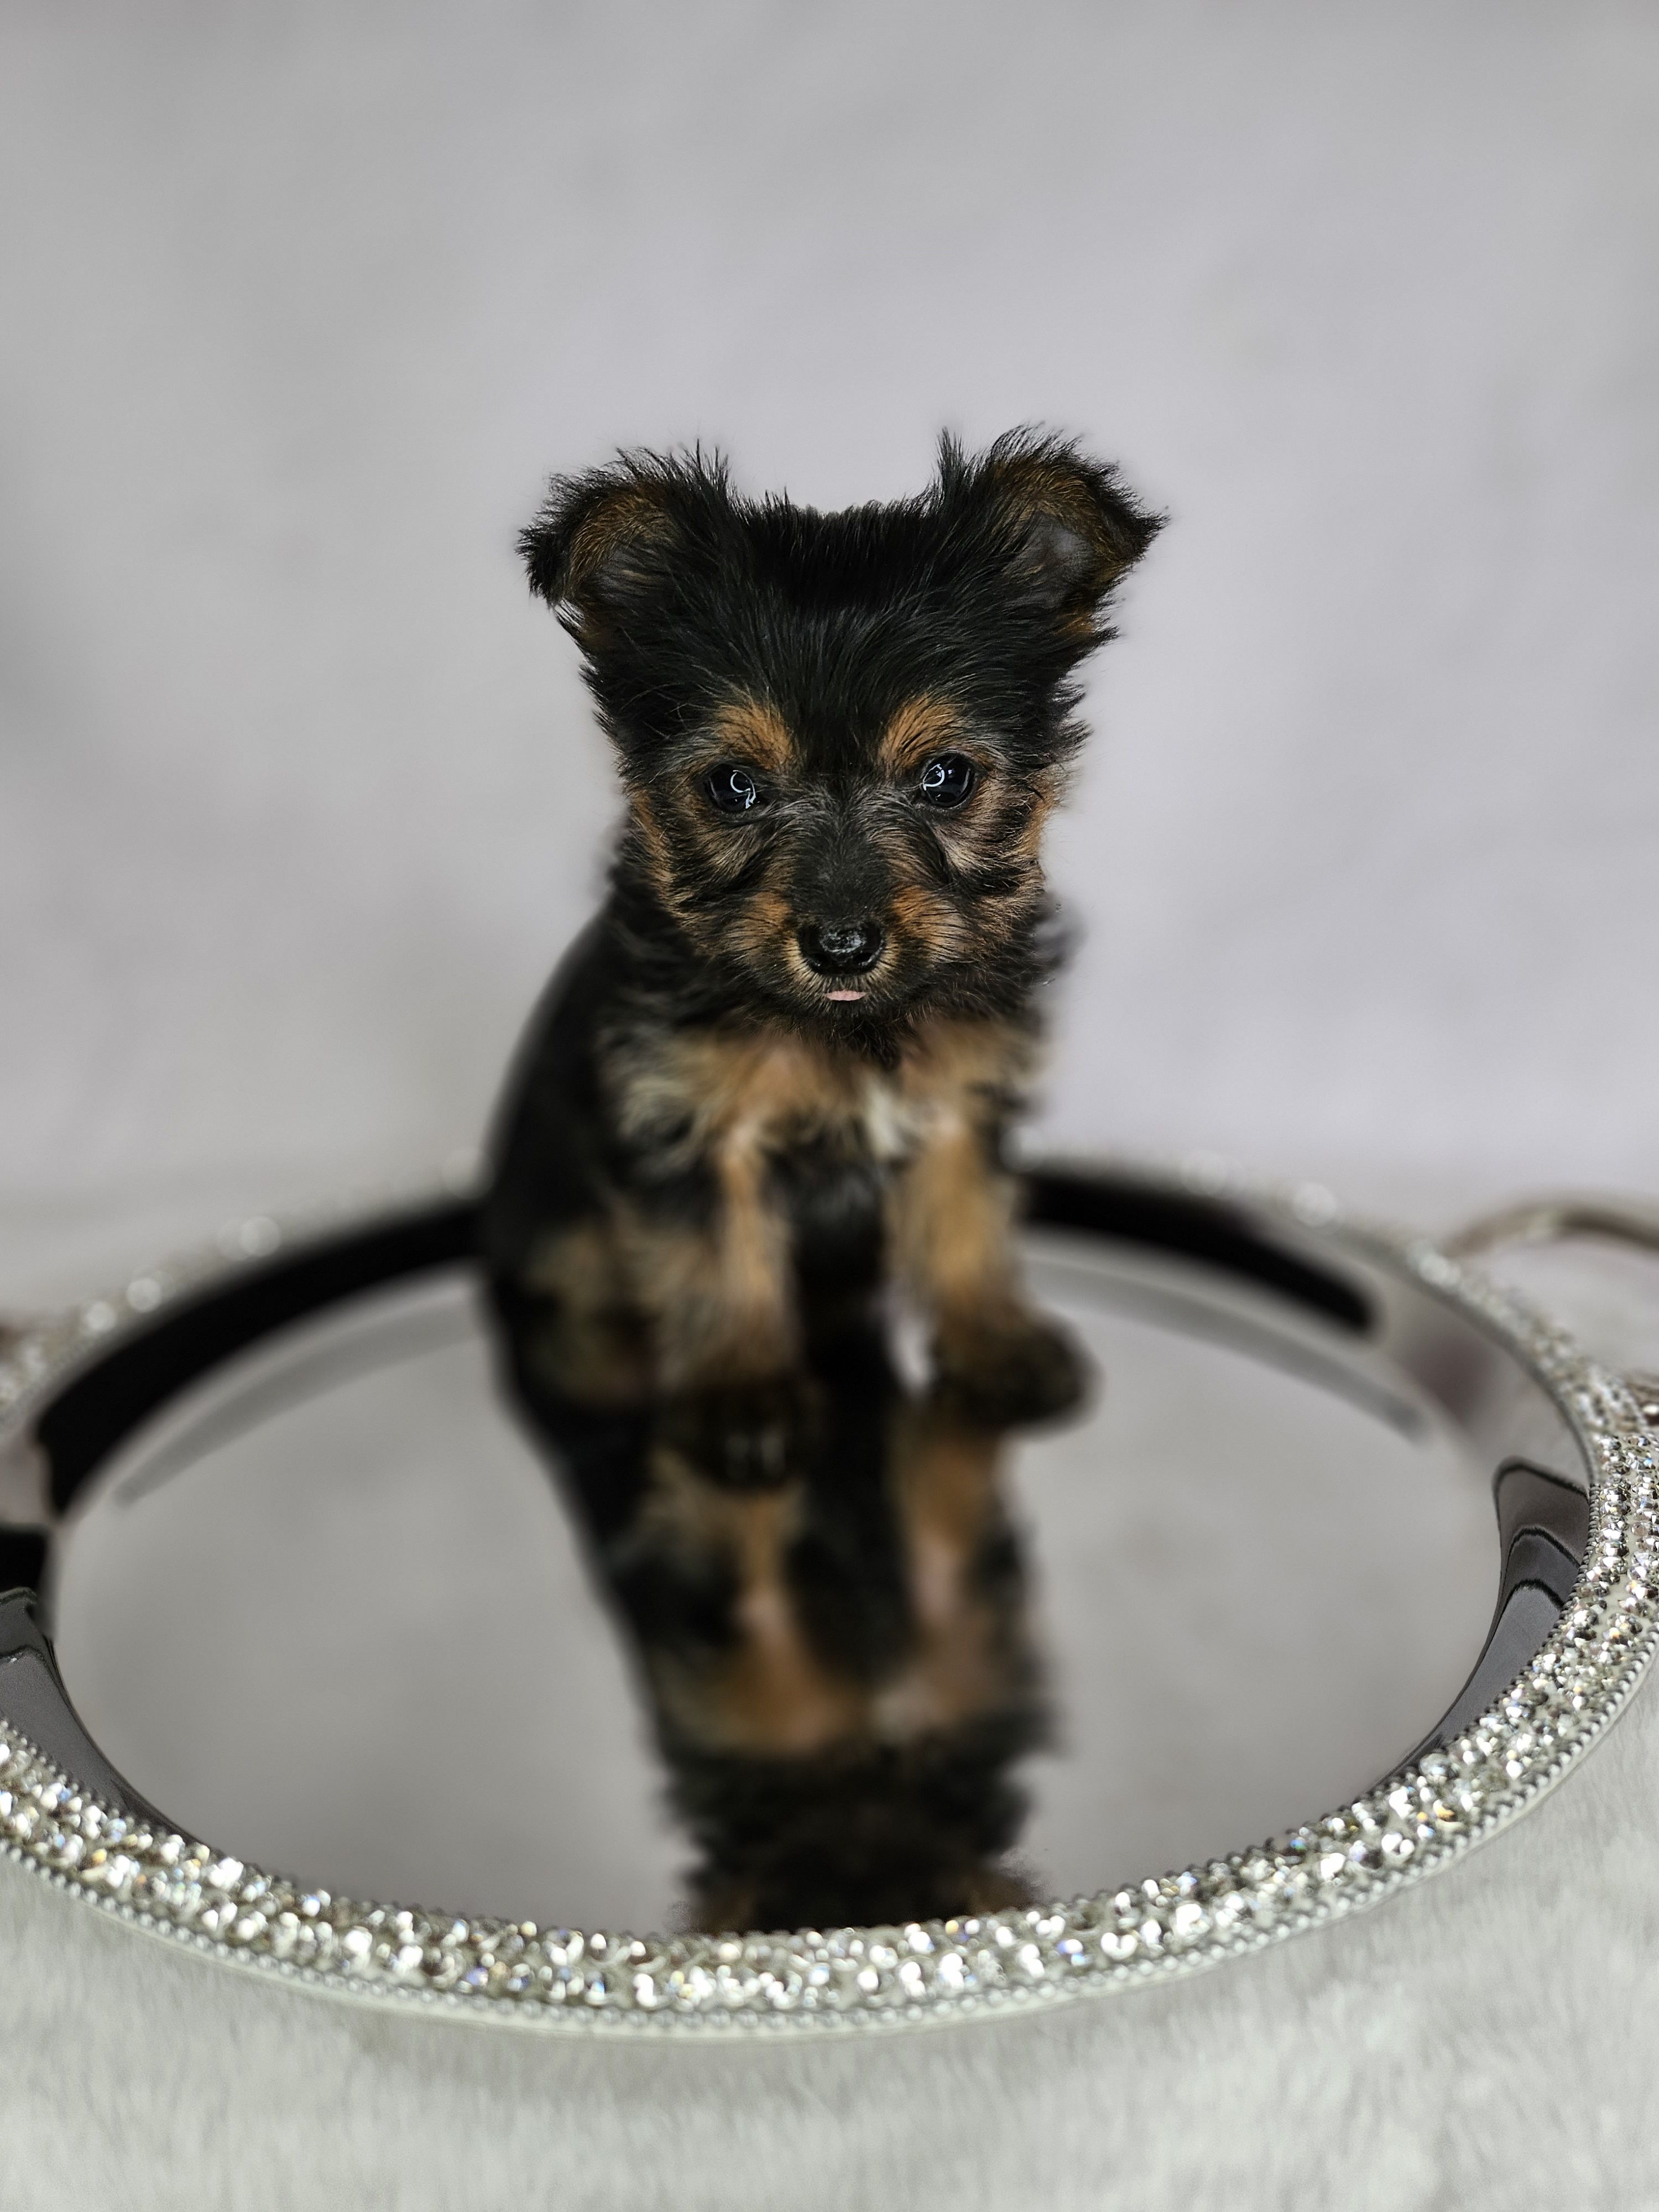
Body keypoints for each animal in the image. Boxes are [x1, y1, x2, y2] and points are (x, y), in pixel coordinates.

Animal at [483, 430, 1159, 1477]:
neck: (847, 1031)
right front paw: (742, 1393)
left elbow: (967, 1219)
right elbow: (721, 1256)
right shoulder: (692, 1115)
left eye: (946, 778)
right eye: (734, 787)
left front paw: (994, 1340)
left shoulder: (959, 1098)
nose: (842, 945)